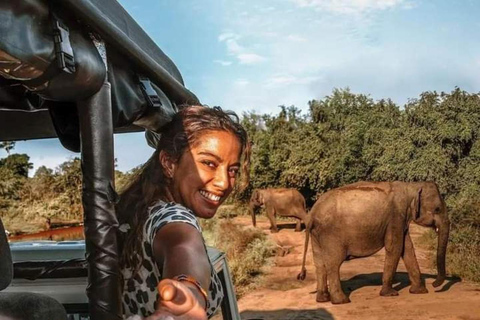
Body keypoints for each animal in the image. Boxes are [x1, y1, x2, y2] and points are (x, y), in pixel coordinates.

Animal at [296, 181, 450, 304]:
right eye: (437, 209)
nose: (434, 285)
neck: (412, 186)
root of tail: (312, 214)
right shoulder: (395, 217)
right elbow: (395, 248)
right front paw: (390, 294)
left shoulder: (401, 221)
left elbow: (407, 249)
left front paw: (419, 291)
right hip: (330, 234)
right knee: (333, 264)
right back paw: (342, 301)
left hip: (317, 235)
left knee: (320, 264)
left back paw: (323, 299)